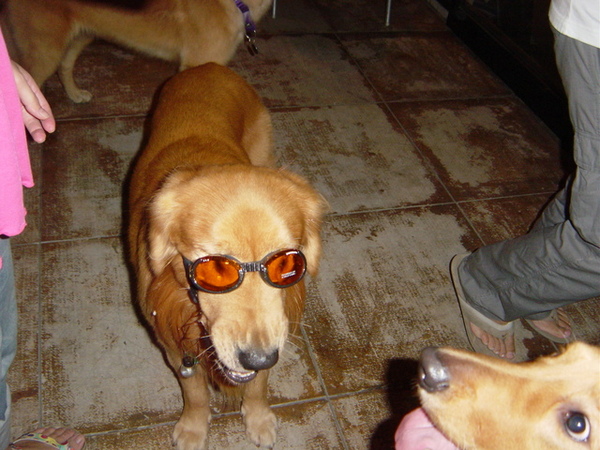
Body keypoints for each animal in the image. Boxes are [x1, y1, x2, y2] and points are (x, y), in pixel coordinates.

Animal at [127, 63, 327, 449]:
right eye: (217, 269)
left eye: (287, 264)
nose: (257, 356)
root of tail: (207, 66)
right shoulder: (174, 345)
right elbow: (195, 393)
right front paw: (193, 427)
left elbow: (258, 384)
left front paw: (258, 417)